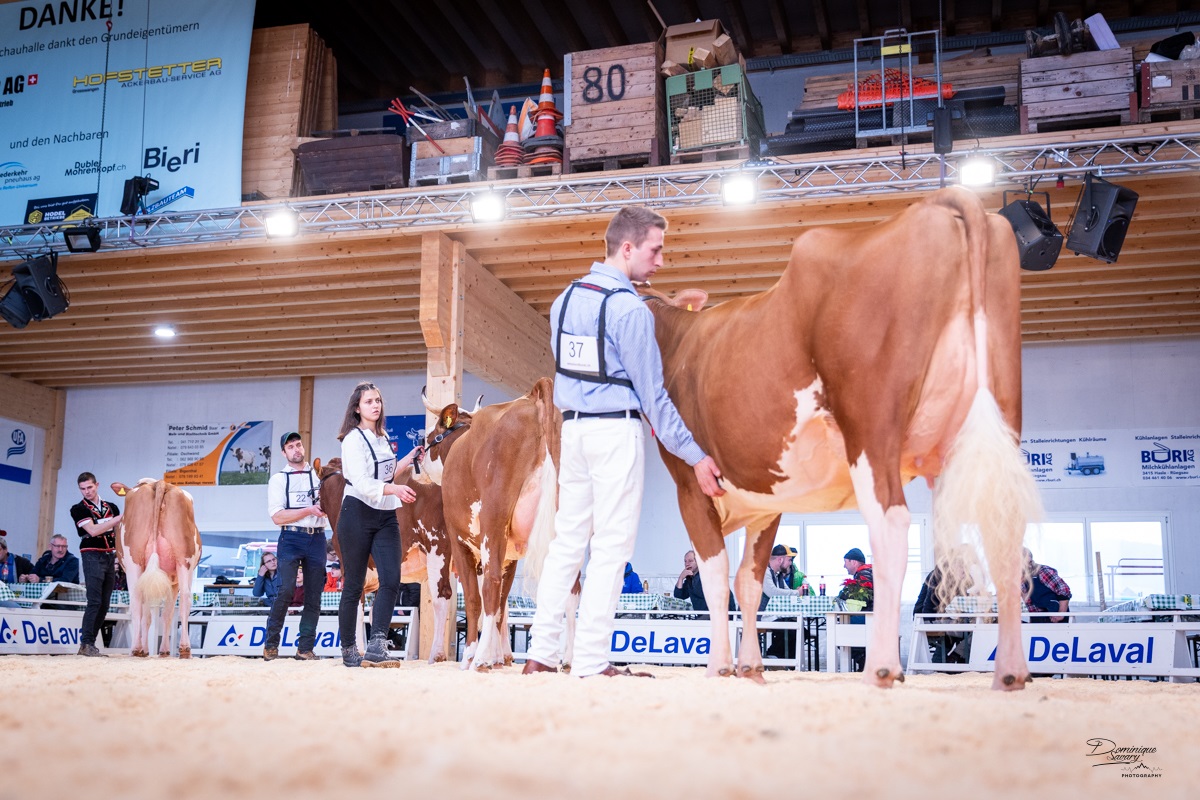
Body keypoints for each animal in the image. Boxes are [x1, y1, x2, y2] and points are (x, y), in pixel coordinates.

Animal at [111, 479, 202, 658]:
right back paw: (184, 648)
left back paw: (136, 648)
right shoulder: (172, 581)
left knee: (136, 600)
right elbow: (165, 614)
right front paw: (161, 650)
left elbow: (149, 615)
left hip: (134, 562)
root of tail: (159, 483)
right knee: (185, 598)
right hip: (184, 560)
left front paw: (149, 649)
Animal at [418, 377, 567, 671]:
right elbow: (501, 605)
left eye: (426, 437)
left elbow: (475, 598)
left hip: (493, 521)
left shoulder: (459, 539)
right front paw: (498, 658)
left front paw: (474, 655)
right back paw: (567, 661)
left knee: (490, 582)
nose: (416, 458)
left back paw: (480, 659)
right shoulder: (511, 553)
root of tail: (532, 398)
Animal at [641, 187, 1040, 690]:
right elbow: (749, 583)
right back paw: (1009, 672)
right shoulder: (766, 499)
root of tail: (942, 200)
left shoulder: (691, 486)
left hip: (871, 425)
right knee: (1003, 528)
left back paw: (882, 667)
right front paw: (751, 668)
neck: (675, 343)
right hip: (998, 413)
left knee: (890, 526)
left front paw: (719, 666)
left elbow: (715, 578)